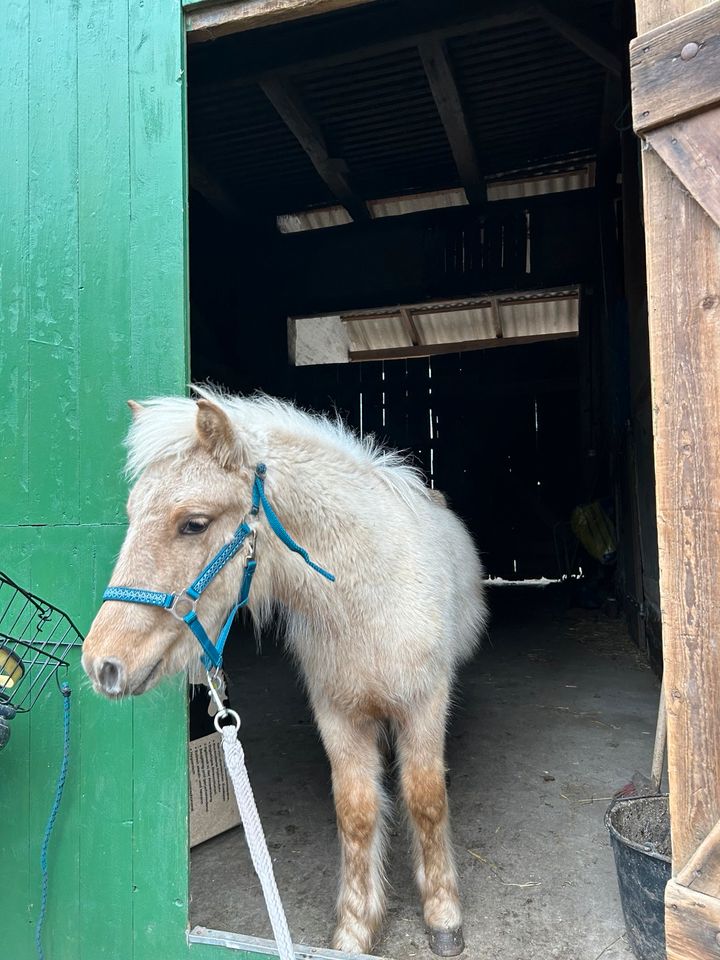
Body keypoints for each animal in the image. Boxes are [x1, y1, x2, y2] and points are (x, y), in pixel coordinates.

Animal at [83, 386, 490, 956]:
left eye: (194, 523)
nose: (103, 664)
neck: (370, 598)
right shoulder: (337, 713)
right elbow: (357, 811)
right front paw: (355, 929)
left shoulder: (424, 703)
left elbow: (426, 799)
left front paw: (443, 916)